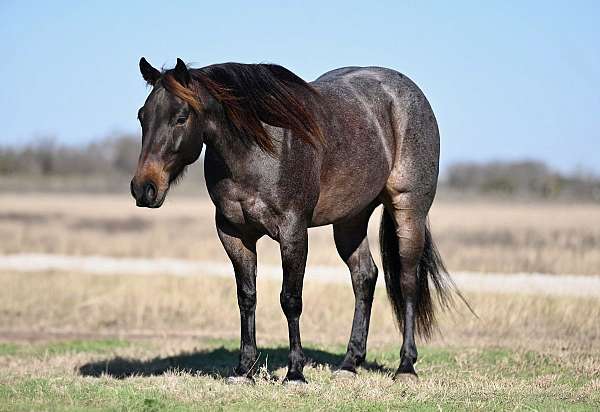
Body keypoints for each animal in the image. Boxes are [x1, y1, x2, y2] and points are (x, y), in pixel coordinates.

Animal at [132, 57, 460, 384]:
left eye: (181, 117)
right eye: (142, 116)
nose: (144, 188)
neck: (257, 149)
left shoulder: (292, 232)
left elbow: (290, 299)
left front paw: (295, 373)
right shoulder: (234, 234)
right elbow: (246, 297)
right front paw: (244, 369)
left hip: (408, 211)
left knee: (407, 282)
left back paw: (406, 367)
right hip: (350, 220)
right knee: (364, 277)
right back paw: (349, 363)